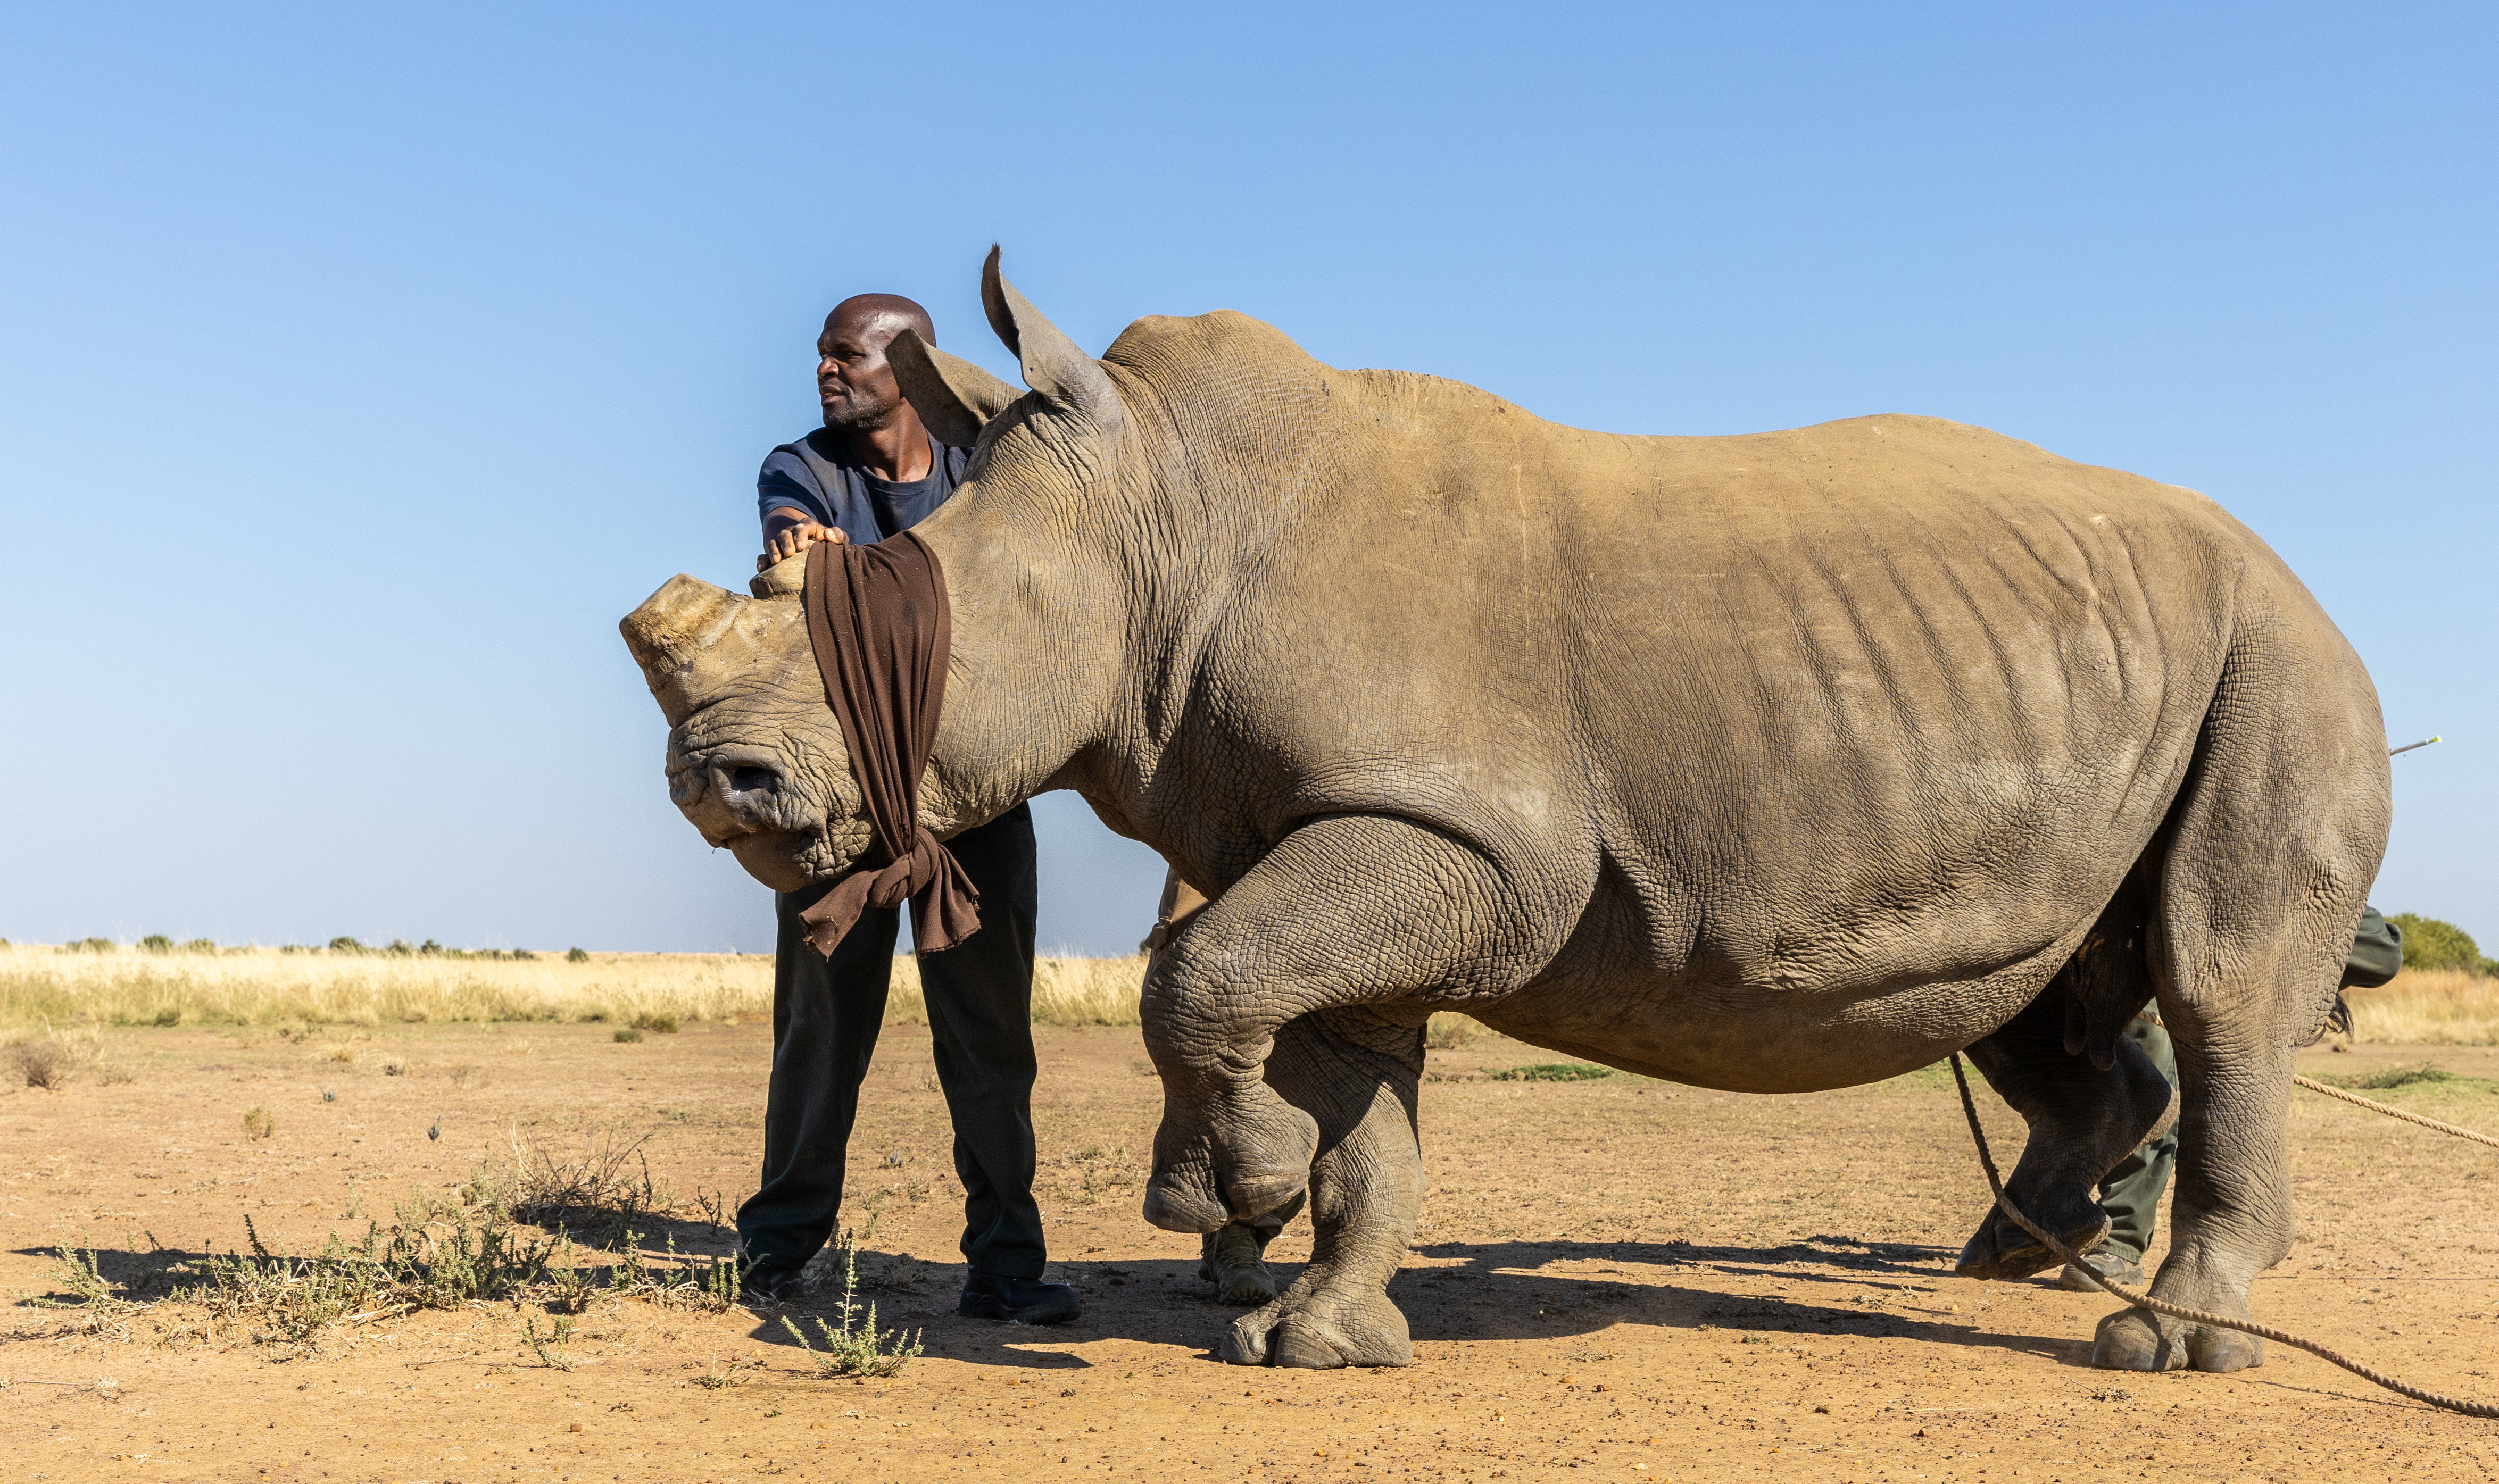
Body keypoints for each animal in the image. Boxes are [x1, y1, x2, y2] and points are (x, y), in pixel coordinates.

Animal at [622, 249, 2388, 1375]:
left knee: (2218, 989)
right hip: (2100, 683)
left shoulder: (1463, 837)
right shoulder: (1359, 821)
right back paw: (2017, 1249)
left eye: (911, 633)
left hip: (2279, 662)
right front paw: (1314, 1336)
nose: (719, 783)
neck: (1162, 519)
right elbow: (1349, 1082)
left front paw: (1233, 1196)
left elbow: (1198, 982)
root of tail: (2295, 575)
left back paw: (2159, 1341)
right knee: (2036, 994)